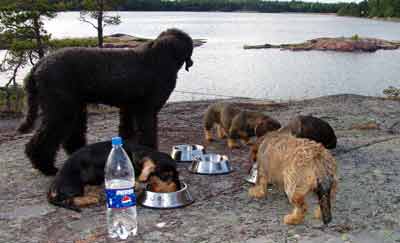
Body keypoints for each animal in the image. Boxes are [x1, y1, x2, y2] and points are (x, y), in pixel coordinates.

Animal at [18, 28, 195, 176]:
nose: (191, 63)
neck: (160, 57)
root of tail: (38, 65)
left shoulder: (128, 109)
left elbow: (127, 133)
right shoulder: (146, 110)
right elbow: (147, 134)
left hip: (75, 108)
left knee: (72, 136)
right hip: (61, 109)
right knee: (42, 140)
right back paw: (46, 167)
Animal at [47, 140, 180, 211]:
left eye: (177, 174)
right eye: (166, 176)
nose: (178, 188)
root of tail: (53, 187)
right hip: (75, 184)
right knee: (69, 199)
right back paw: (91, 198)